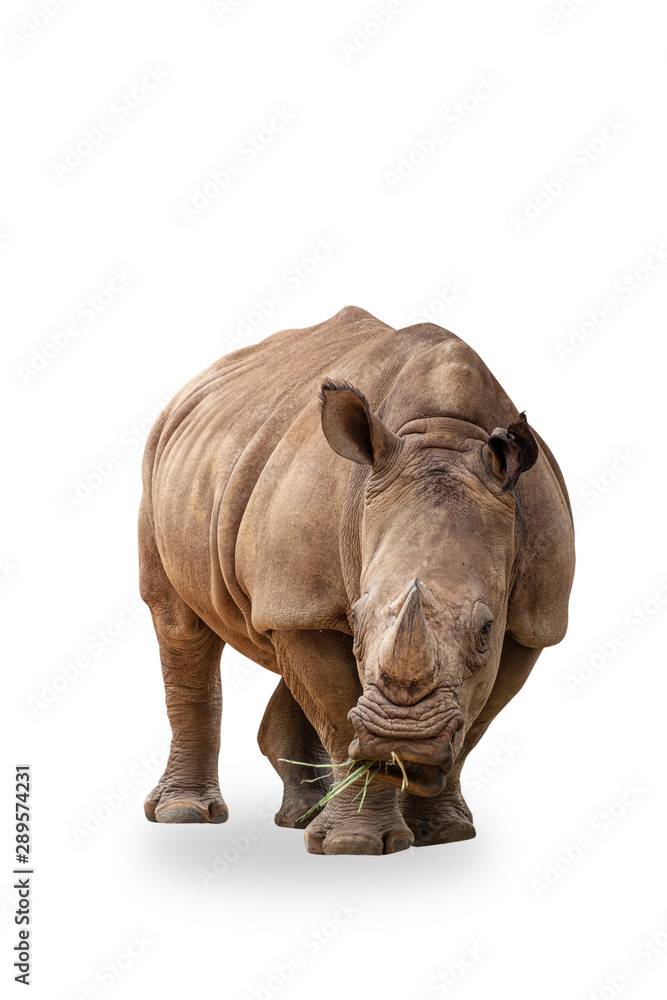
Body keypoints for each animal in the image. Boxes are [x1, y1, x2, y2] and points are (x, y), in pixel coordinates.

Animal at [139, 306, 575, 855]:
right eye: (358, 617)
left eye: (484, 631)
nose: (401, 740)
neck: (444, 433)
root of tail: (192, 388)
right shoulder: (305, 600)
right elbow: (334, 708)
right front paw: (354, 844)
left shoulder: (531, 622)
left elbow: (477, 722)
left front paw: (442, 833)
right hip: (161, 463)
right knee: (179, 623)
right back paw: (186, 815)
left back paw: (301, 817)